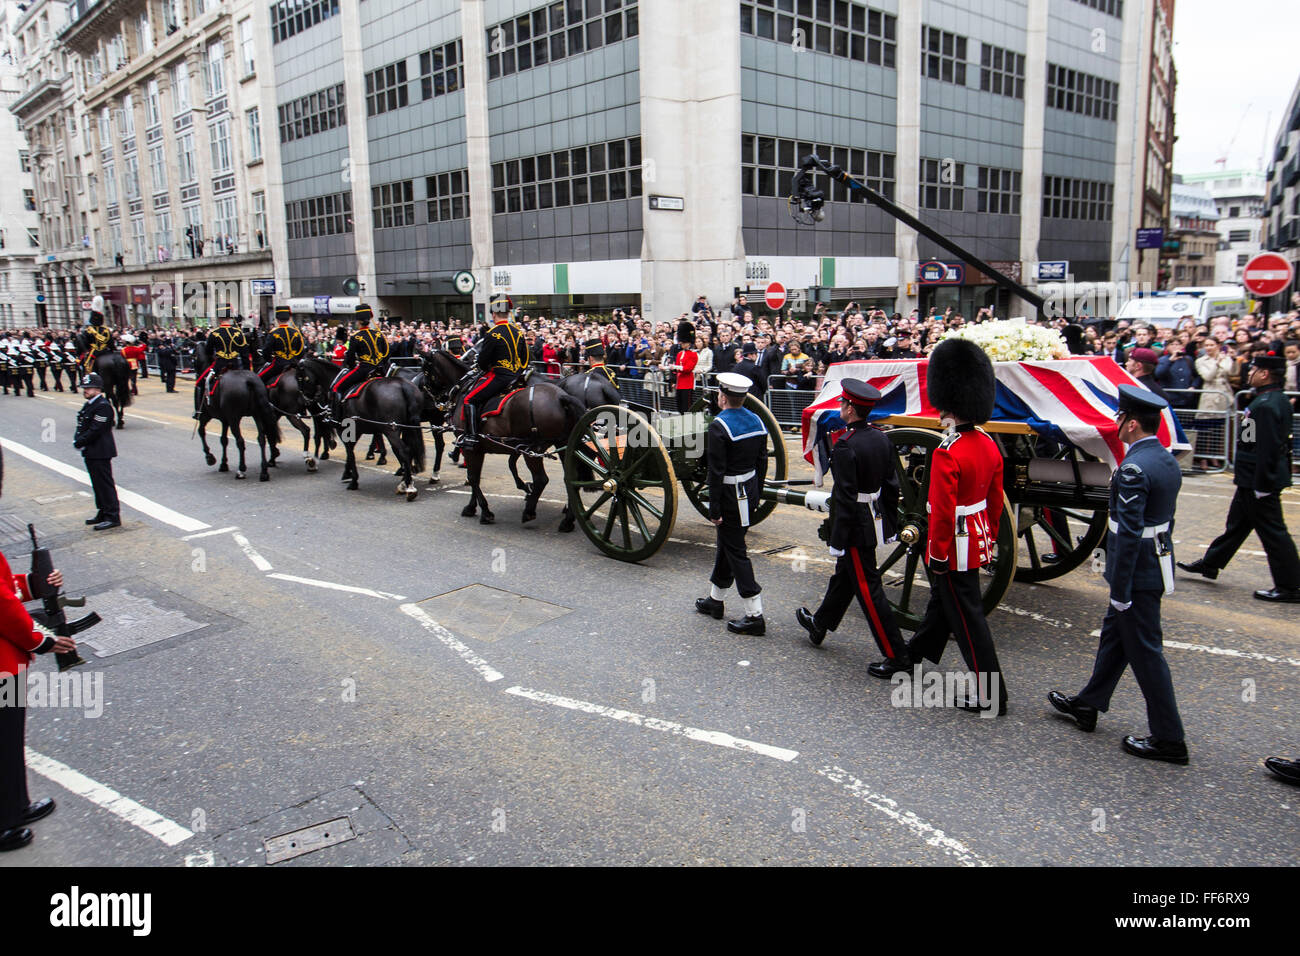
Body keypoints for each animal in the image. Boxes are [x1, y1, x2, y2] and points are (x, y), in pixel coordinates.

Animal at [191, 343, 280, 481]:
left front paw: (210, 457)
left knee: (240, 441)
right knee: (261, 439)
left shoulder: (207, 416)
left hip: (234, 418)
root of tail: (249, 381)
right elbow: (223, 440)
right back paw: (264, 471)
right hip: (257, 414)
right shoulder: (224, 420)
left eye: (193, 356)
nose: (193, 370)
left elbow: (201, 432)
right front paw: (223, 464)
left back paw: (241, 470)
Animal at [296, 356, 426, 502]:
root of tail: (402, 385)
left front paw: (353, 480)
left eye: (300, 378)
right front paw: (348, 473)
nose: (304, 401)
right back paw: (407, 480)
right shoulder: (360, 430)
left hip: (391, 430)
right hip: (406, 427)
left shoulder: (345, 430)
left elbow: (350, 453)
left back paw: (409, 487)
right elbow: (353, 451)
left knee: (404, 451)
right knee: (408, 450)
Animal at [418, 348, 582, 522]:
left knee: (541, 479)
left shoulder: (472, 449)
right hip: (563, 446)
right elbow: (486, 473)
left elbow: (473, 477)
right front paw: (472, 506)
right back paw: (568, 518)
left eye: (425, 370)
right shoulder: (497, 448)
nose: (425, 391)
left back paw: (530, 511)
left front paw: (484, 511)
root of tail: (560, 397)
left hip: (533, 450)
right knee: (571, 478)